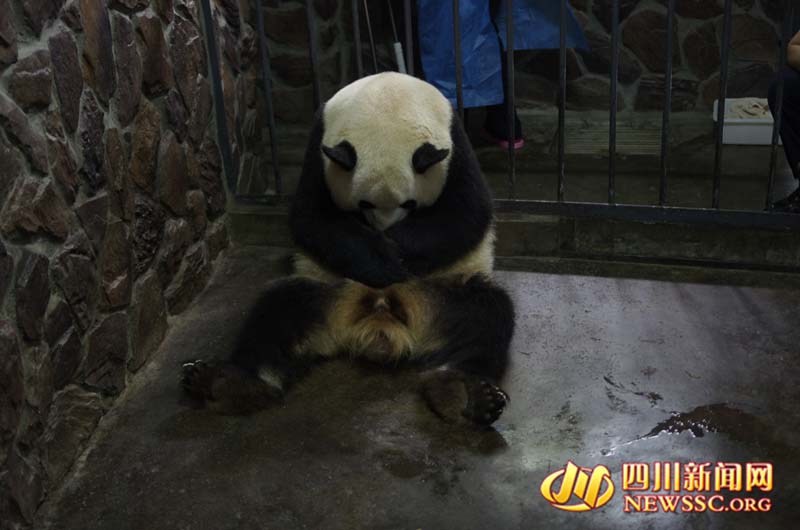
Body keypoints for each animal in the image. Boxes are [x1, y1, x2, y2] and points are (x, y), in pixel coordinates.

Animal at [182, 72, 515, 427]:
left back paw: (463, 393)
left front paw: (398, 253)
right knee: (279, 311)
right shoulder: (319, 145)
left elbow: (466, 212)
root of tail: (379, 325)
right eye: (364, 204)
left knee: (485, 314)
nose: (383, 231)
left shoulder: (454, 144)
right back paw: (229, 383)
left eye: (409, 204)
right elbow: (312, 216)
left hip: (438, 292)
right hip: (331, 289)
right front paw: (381, 260)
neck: (388, 99)